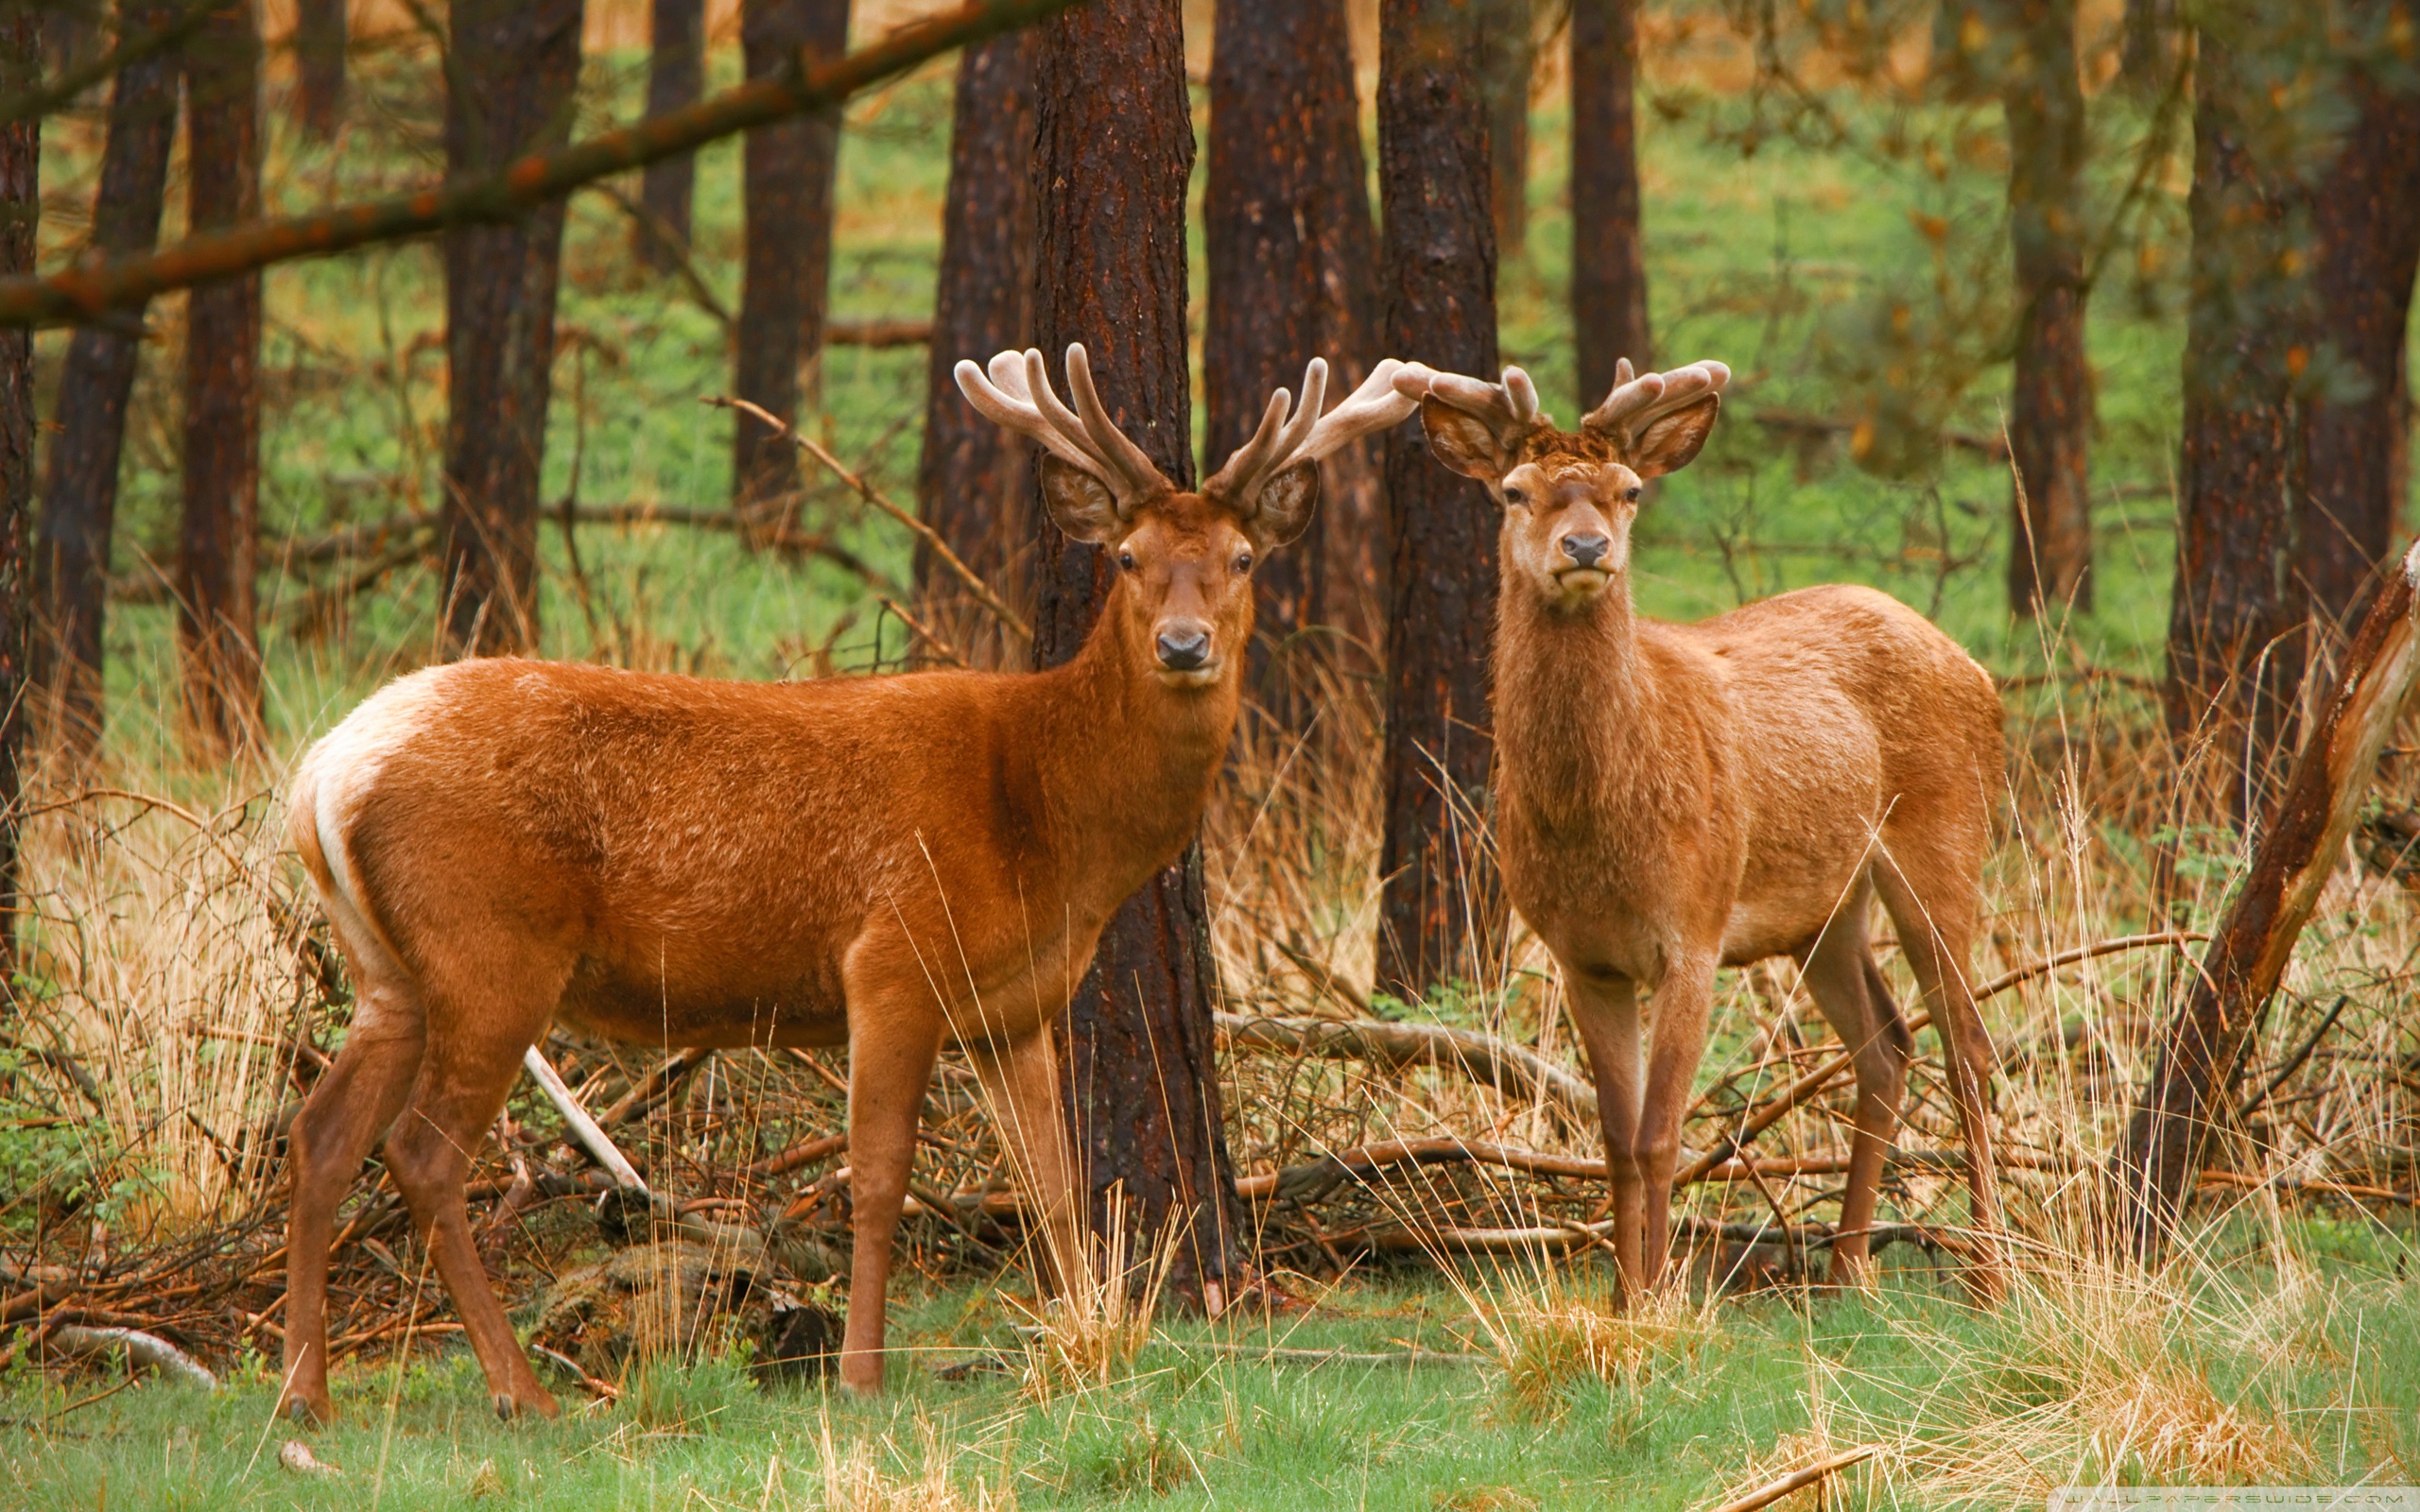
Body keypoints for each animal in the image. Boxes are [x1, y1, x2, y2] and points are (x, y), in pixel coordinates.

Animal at [277, 348, 1413, 1422]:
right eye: (1128, 558)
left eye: (1241, 558)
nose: (1184, 645)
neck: (1046, 824)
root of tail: (324, 769)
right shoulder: (893, 959)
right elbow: (877, 1179)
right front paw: (863, 1375)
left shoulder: (1014, 1007)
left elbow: (1053, 1186)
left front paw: (1090, 1344)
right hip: (492, 948)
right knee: (421, 1154)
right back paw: (521, 1392)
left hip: (389, 969)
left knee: (322, 1135)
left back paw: (305, 1394)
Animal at [1393, 360, 2013, 1306]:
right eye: (1513, 491)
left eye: (1629, 490)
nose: (1585, 548)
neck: (1596, 824)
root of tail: (1977, 669)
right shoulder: (1581, 955)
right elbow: (1616, 1140)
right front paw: (1621, 1297)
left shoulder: (1695, 926)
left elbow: (1661, 1135)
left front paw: (1657, 1299)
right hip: (1824, 908)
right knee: (1886, 1043)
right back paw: (1845, 1269)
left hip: (1945, 837)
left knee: (1969, 1045)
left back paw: (1988, 1276)